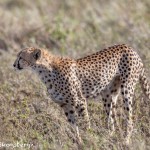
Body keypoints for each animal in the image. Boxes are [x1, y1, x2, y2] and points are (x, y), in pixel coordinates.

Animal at [13, 44, 149, 144]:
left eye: (21, 57)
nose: (14, 65)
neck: (45, 71)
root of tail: (129, 47)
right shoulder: (65, 105)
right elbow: (74, 126)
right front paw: (78, 142)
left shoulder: (80, 101)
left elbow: (85, 123)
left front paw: (89, 138)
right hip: (108, 95)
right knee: (111, 120)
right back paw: (109, 137)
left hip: (127, 89)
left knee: (130, 119)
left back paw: (125, 141)